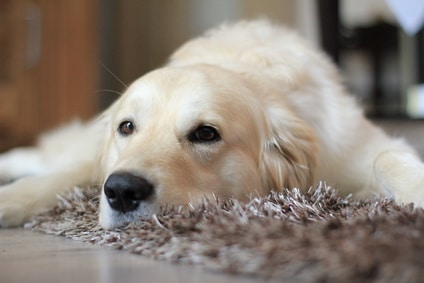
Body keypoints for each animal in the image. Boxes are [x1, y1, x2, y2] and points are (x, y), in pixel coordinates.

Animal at [0, 19, 424, 229]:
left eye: (206, 133)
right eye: (127, 127)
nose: (121, 191)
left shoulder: (355, 149)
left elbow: (389, 159)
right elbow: (64, 178)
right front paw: (12, 200)